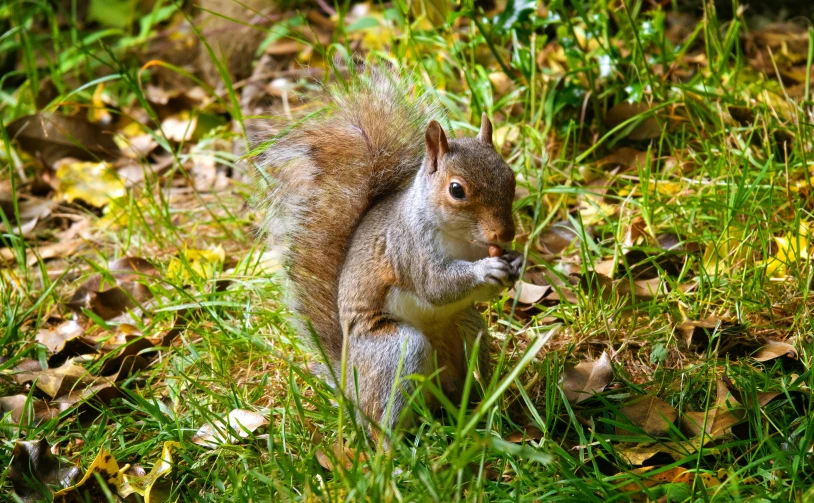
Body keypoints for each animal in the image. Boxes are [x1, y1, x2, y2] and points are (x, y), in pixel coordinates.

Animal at [262, 66, 524, 438]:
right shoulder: (407, 248)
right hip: (394, 349)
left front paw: (515, 260)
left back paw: (483, 408)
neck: (460, 237)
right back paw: (396, 446)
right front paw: (485, 270)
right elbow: (435, 285)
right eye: (456, 190)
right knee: (383, 419)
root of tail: (349, 386)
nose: (506, 233)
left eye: (510, 177)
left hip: (468, 327)